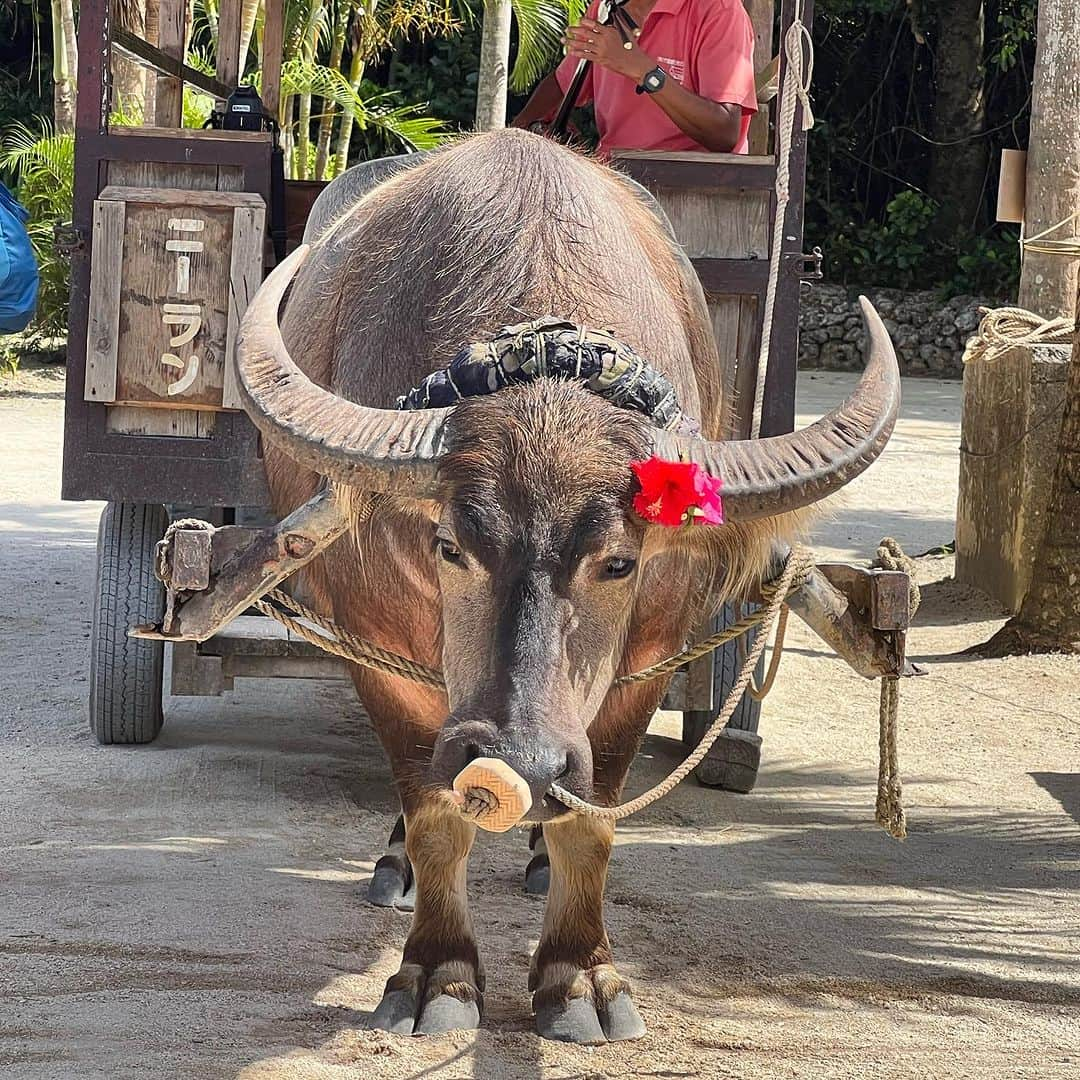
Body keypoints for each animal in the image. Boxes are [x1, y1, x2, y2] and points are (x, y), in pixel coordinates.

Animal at [236, 128, 902, 1045]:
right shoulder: (378, 655)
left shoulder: (646, 662)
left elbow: (593, 822)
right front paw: (437, 975)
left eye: (618, 563)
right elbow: (436, 816)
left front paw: (579, 979)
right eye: (449, 545)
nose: (519, 762)